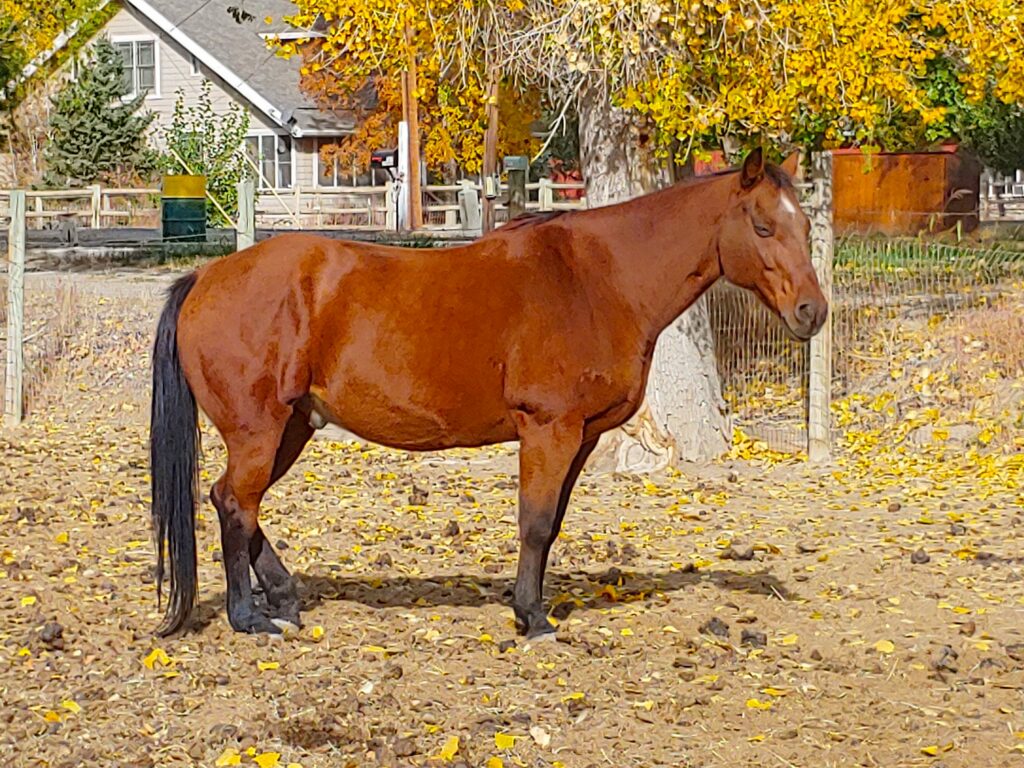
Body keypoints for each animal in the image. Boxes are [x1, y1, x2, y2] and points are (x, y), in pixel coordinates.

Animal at [149, 148, 823, 638]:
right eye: (763, 225)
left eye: (807, 224)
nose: (812, 313)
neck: (596, 279)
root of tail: (205, 276)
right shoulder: (549, 429)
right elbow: (535, 522)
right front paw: (533, 618)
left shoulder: (580, 438)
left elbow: (551, 523)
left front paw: (530, 604)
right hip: (259, 430)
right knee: (235, 505)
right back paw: (250, 617)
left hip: (291, 427)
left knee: (234, 502)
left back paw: (284, 597)